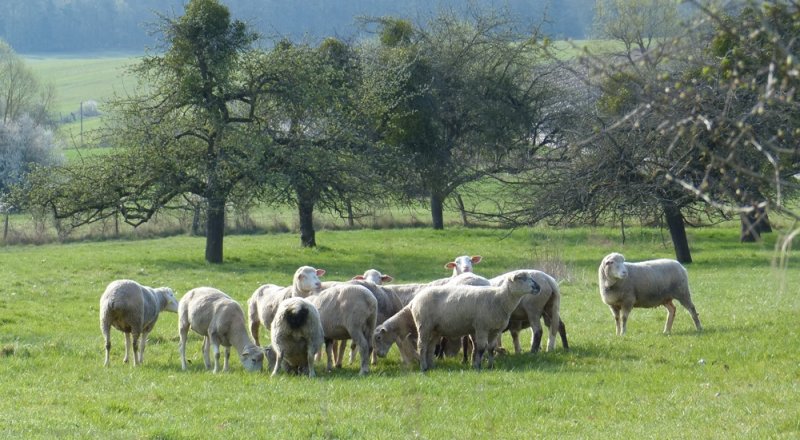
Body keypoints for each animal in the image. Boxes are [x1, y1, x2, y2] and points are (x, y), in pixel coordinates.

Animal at [410, 271, 540, 371]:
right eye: (521, 278)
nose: (538, 287)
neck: (499, 299)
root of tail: (414, 300)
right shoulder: (482, 327)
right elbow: (482, 347)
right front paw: (478, 366)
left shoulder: (495, 330)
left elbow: (491, 348)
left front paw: (491, 366)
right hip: (424, 324)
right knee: (421, 345)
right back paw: (423, 367)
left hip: (435, 329)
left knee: (430, 346)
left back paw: (431, 366)